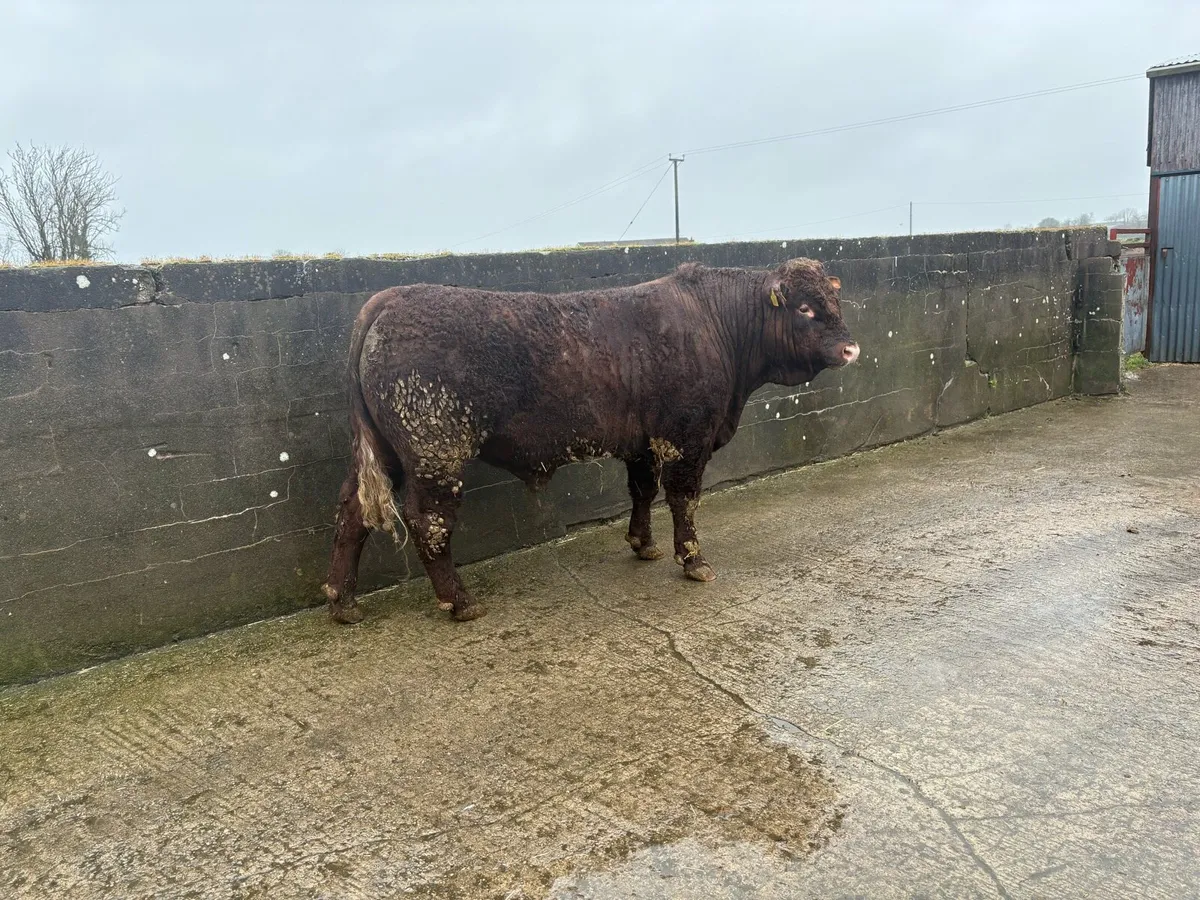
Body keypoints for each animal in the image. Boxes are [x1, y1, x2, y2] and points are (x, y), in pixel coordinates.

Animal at [322, 258, 859, 624]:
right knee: (427, 521)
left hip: (385, 451)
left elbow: (642, 491)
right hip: (435, 452)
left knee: (352, 509)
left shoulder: (643, 443)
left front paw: (644, 545)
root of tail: (390, 298)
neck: (714, 324)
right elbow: (683, 497)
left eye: (835, 303)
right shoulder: (687, 437)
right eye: (806, 308)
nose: (851, 349)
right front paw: (693, 560)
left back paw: (343, 602)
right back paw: (460, 601)